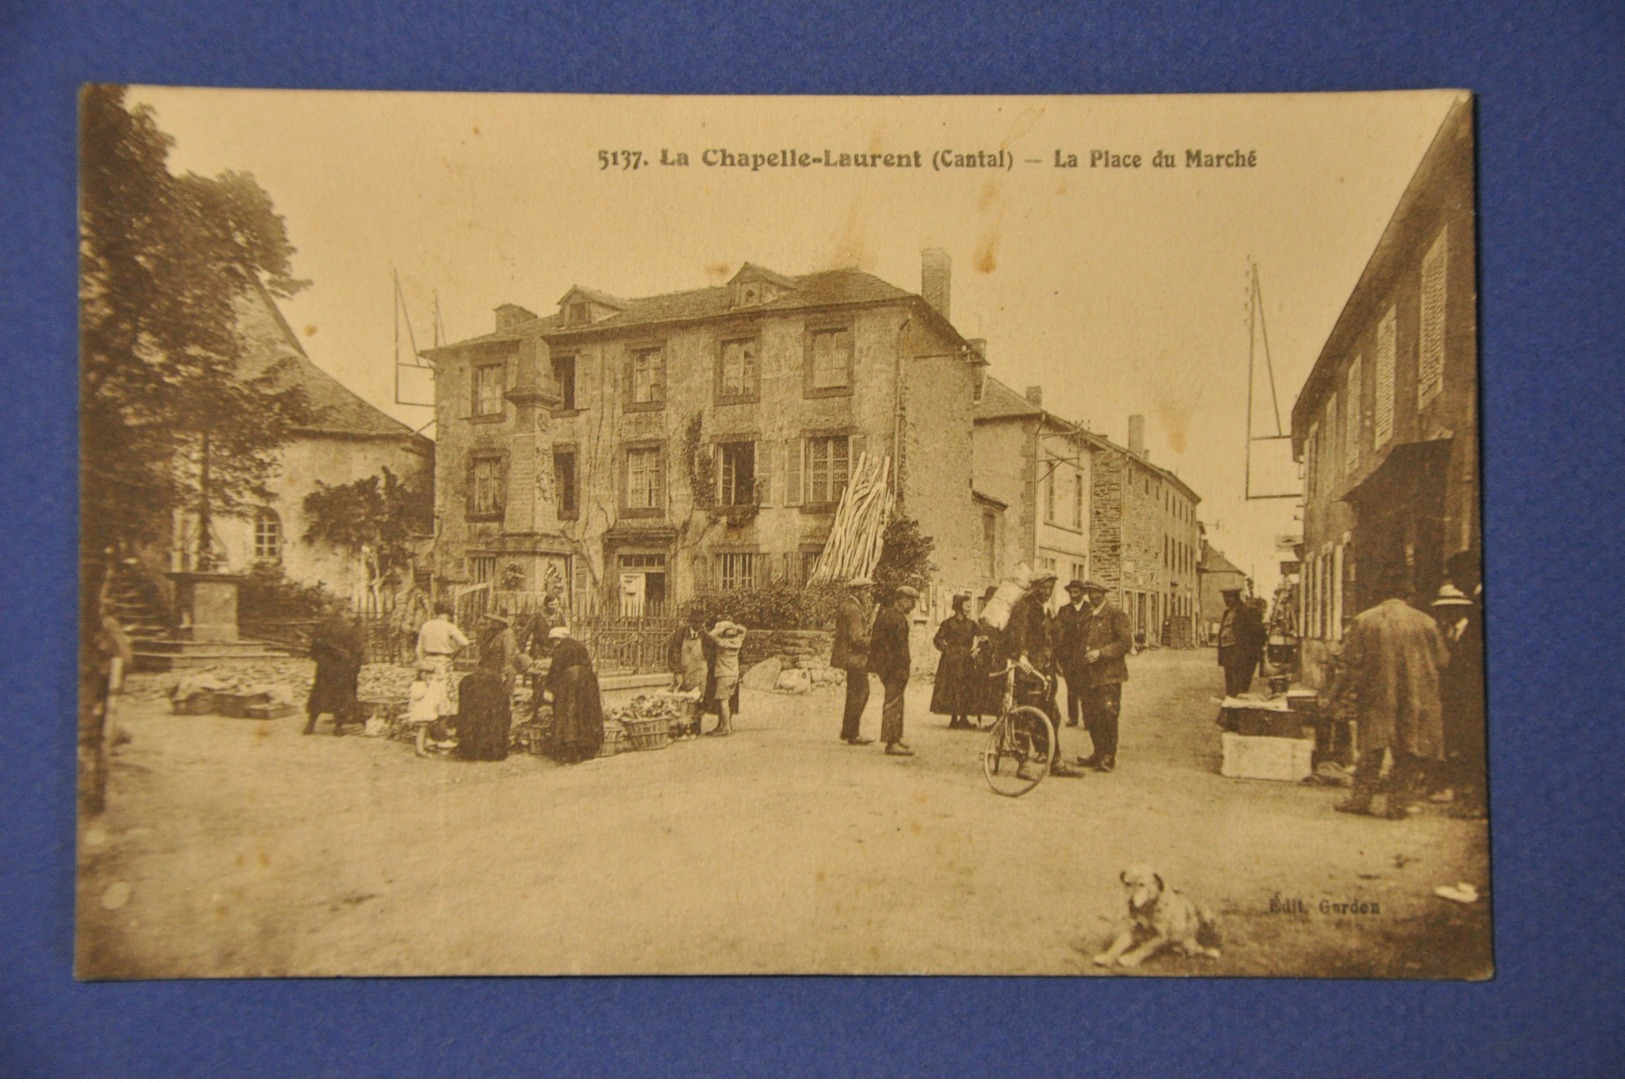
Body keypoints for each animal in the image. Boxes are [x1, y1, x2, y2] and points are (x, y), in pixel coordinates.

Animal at [1092, 865, 1222, 962]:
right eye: (1127, 883)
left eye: (1142, 885)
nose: (1130, 901)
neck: (1148, 907)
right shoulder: (1134, 927)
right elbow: (1119, 942)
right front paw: (1107, 956)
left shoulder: (1161, 935)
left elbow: (1146, 947)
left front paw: (1129, 959)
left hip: (1204, 912)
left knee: (1203, 946)